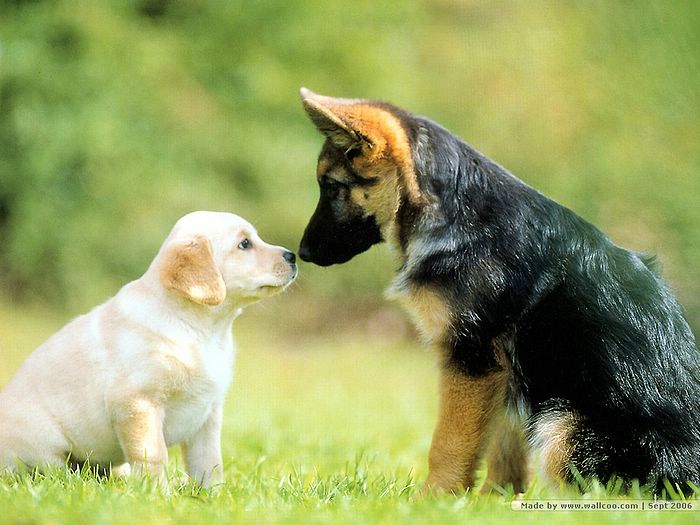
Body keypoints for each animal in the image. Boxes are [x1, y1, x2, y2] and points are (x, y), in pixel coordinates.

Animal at [0, 210, 296, 488]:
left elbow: (209, 461)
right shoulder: (137, 403)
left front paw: (213, 495)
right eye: (244, 244)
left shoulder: (208, 414)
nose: (292, 256)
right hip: (42, 443)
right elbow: (153, 455)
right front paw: (159, 494)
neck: (201, 330)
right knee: (54, 472)